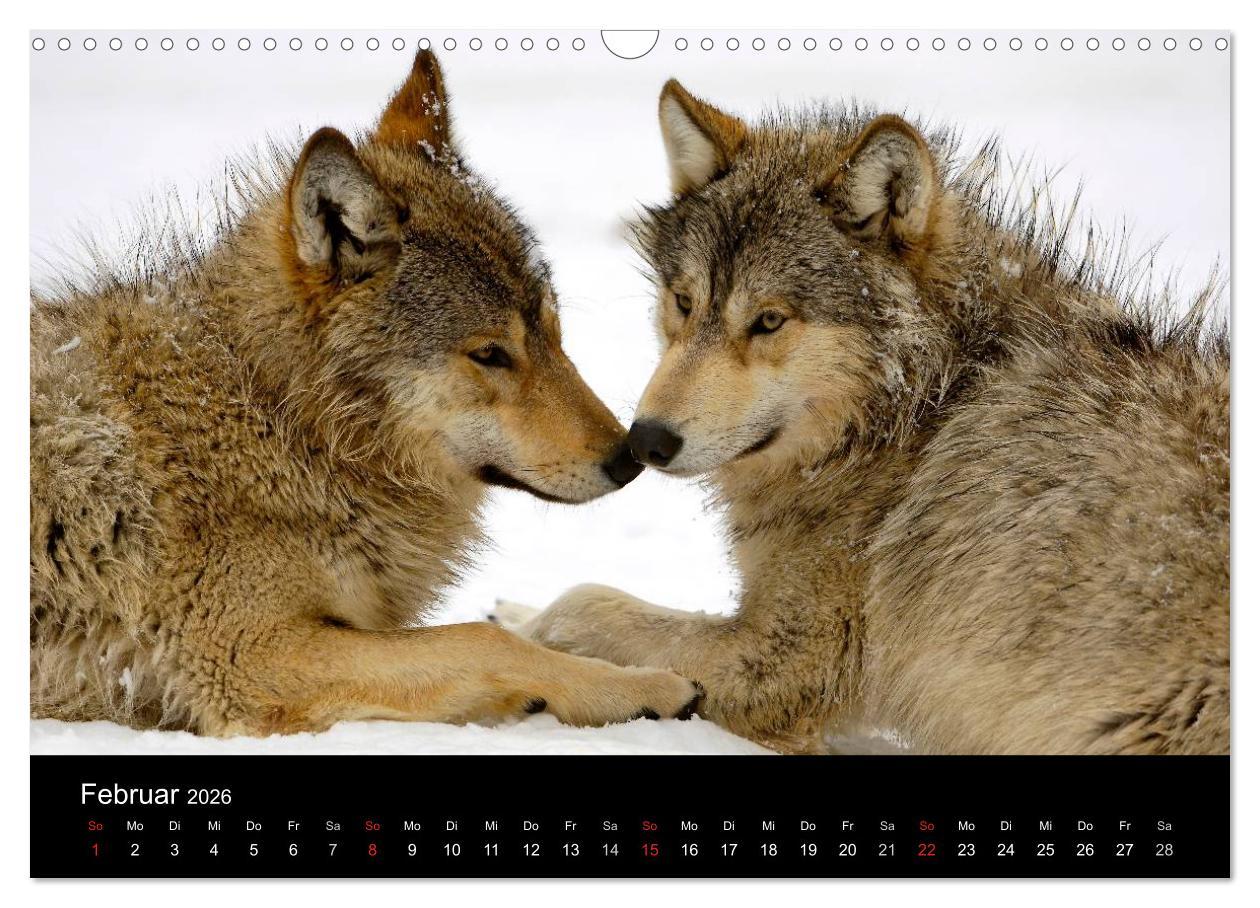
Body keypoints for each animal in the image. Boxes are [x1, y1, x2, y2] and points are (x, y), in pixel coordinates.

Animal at [30, 52, 704, 735]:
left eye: (553, 333)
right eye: (491, 353)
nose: (629, 458)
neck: (278, 421)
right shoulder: (249, 654)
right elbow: (485, 639)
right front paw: (640, 688)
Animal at [498, 80, 1230, 754]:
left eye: (768, 321)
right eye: (684, 302)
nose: (645, 441)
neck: (917, 410)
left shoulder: (785, 661)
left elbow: (584, 601)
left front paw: (518, 629)